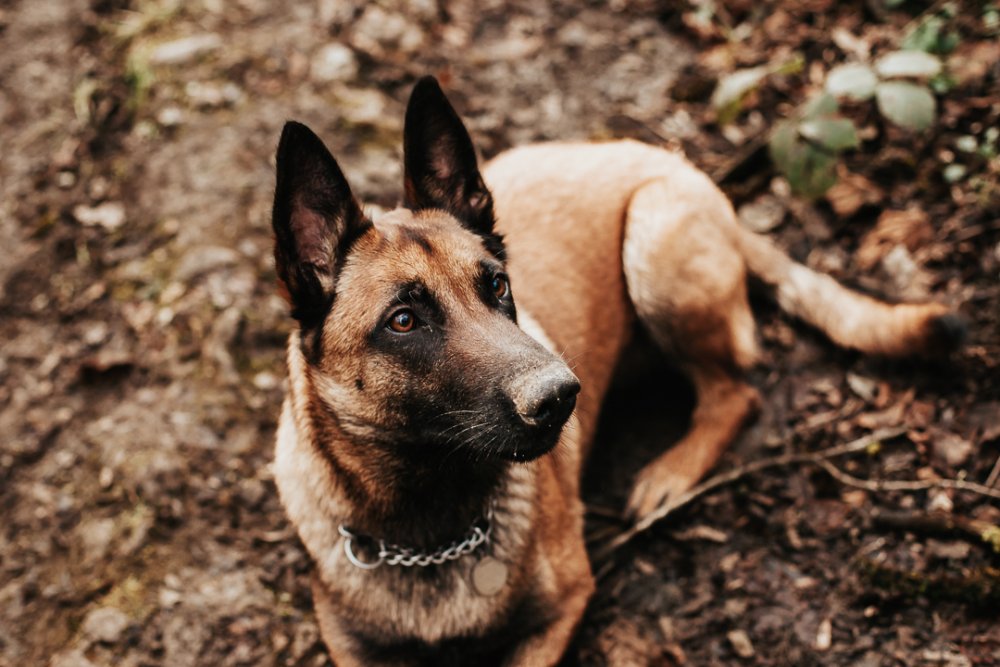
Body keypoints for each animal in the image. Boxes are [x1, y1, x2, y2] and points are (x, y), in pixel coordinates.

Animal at [272, 75, 960, 664]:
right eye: (403, 321)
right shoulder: (356, 651)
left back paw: (670, 476)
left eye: (497, 285)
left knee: (733, 393)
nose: (560, 397)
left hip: (653, 247)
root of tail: (669, 160)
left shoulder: (563, 610)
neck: (427, 525)